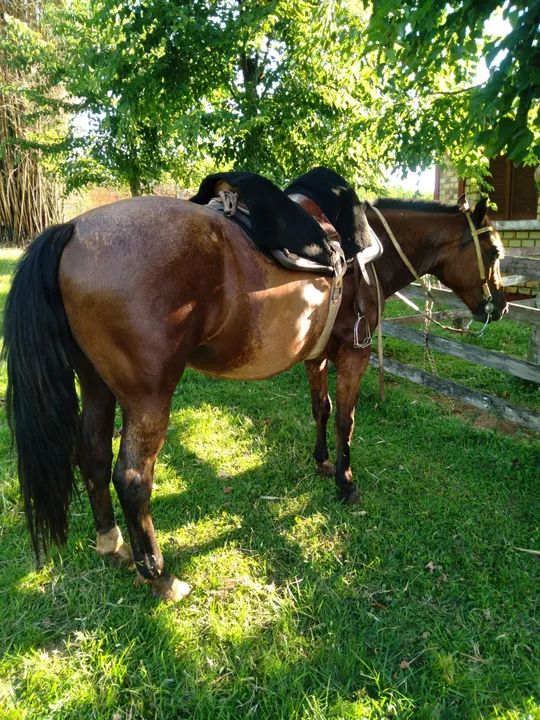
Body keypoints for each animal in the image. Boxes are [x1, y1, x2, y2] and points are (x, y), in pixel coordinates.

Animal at [2, 167, 507, 601]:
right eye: (496, 253)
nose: (499, 305)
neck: (368, 251)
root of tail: (72, 230)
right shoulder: (354, 352)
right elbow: (346, 419)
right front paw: (345, 483)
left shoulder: (317, 354)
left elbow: (321, 409)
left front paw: (322, 463)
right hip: (148, 397)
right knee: (131, 478)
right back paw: (160, 575)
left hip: (96, 385)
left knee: (91, 455)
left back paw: (113, 544)